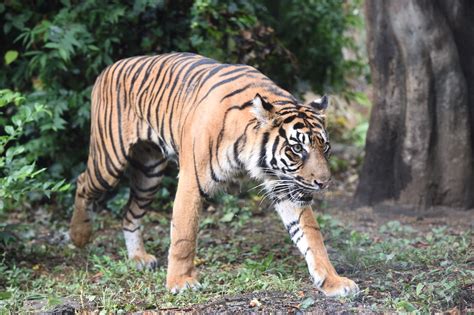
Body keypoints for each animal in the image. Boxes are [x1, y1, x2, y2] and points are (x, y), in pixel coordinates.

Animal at [69, 52, 360, 298]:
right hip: (109, 159)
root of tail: (110, 66)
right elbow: (184, 236)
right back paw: (79, 235)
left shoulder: (285, 186)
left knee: (130, 213)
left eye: (325, 147)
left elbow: (311, 236)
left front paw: (333, 281)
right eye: (297, 148)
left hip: (149, 173)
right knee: (82, 183)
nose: (324, 182)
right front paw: (181, 282)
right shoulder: (191, 182)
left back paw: (138, 257)